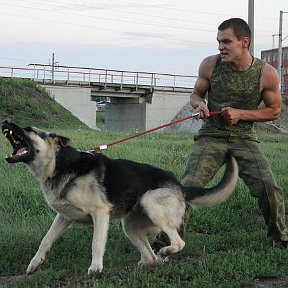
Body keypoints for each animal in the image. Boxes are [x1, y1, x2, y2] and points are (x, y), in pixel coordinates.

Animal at [1, 120, 238, 276]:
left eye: (29, 130)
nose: (6, 120)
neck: (60, 165)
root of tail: (180, 186)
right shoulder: (63, 217)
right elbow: (45, 240)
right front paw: (34, 264)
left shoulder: (100, 214)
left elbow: (96, 243)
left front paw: (95, 269)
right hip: (130, 227)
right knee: (150, 258)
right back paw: (144, 265)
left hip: (151, 204)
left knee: (178, 242)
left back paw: (166, 250)